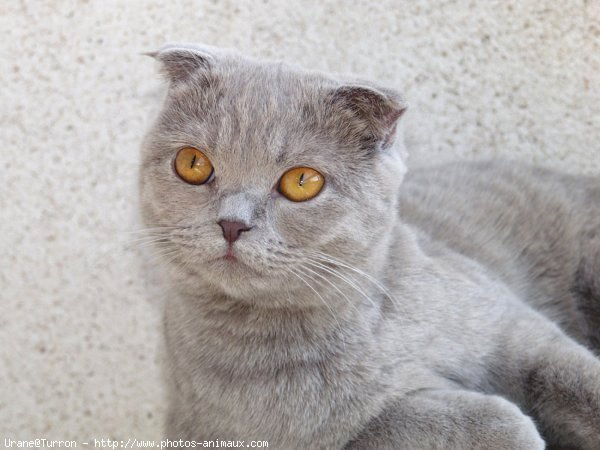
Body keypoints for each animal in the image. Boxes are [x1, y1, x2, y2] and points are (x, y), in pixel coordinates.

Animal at [138, 43, 600, 450]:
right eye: (193, 164)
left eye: (302, 181)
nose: (232, 223)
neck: (369, 326)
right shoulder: (286, 433)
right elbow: (468, 419)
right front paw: (512, 427)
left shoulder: (517, 332)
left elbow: (574, 376)